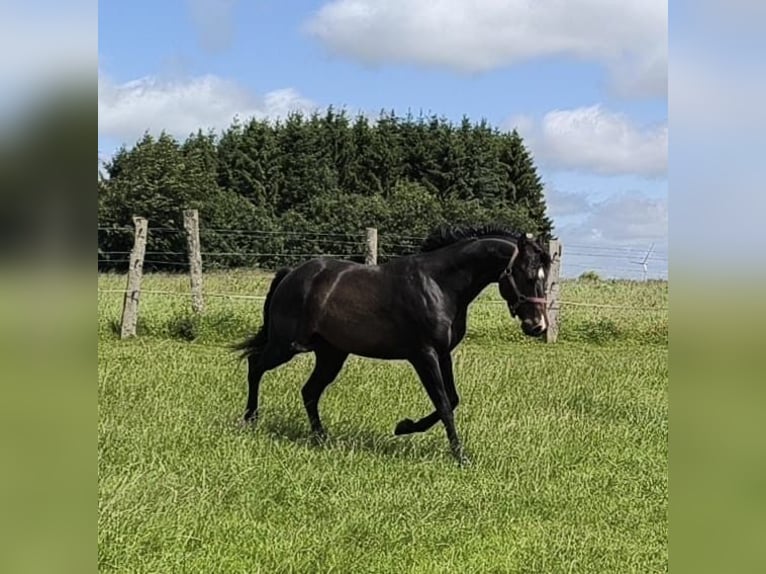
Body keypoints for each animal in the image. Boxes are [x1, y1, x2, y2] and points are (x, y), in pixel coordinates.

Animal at [233, 224, 552, 464]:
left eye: (544, 277)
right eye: (526, 276)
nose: (537, 326)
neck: (439, 284)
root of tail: (292, 274)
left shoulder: (443, 354)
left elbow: (452, 399)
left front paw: (404, 427)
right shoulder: (423, 355)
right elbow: (443, 403)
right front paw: (458, 456)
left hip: (331, 354)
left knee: (309, 391)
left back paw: (322, 438)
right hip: (287, 346)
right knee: (256, 365)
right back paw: (250, 419)